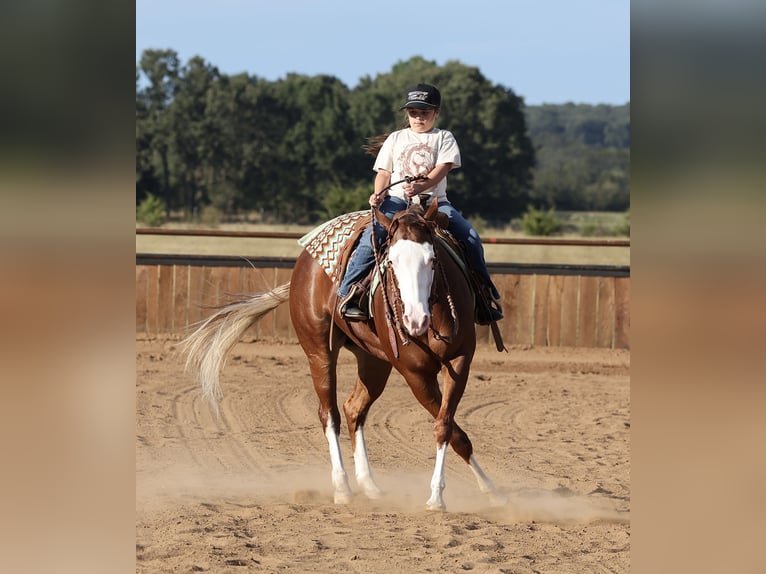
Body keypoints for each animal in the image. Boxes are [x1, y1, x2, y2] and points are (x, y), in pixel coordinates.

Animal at [182, 200, 505, 511]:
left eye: (433, 259)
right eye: (391, 261)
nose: (415, 319)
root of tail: (303, 265)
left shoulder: (459, 362)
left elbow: (448, 428)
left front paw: (487, 490)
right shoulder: (415, 374)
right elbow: (446, 426)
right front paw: (438, 498)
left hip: (374, 360)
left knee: (354, 409)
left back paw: (370, 485)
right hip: (319, 351)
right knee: (330, 414)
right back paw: (342, 488)